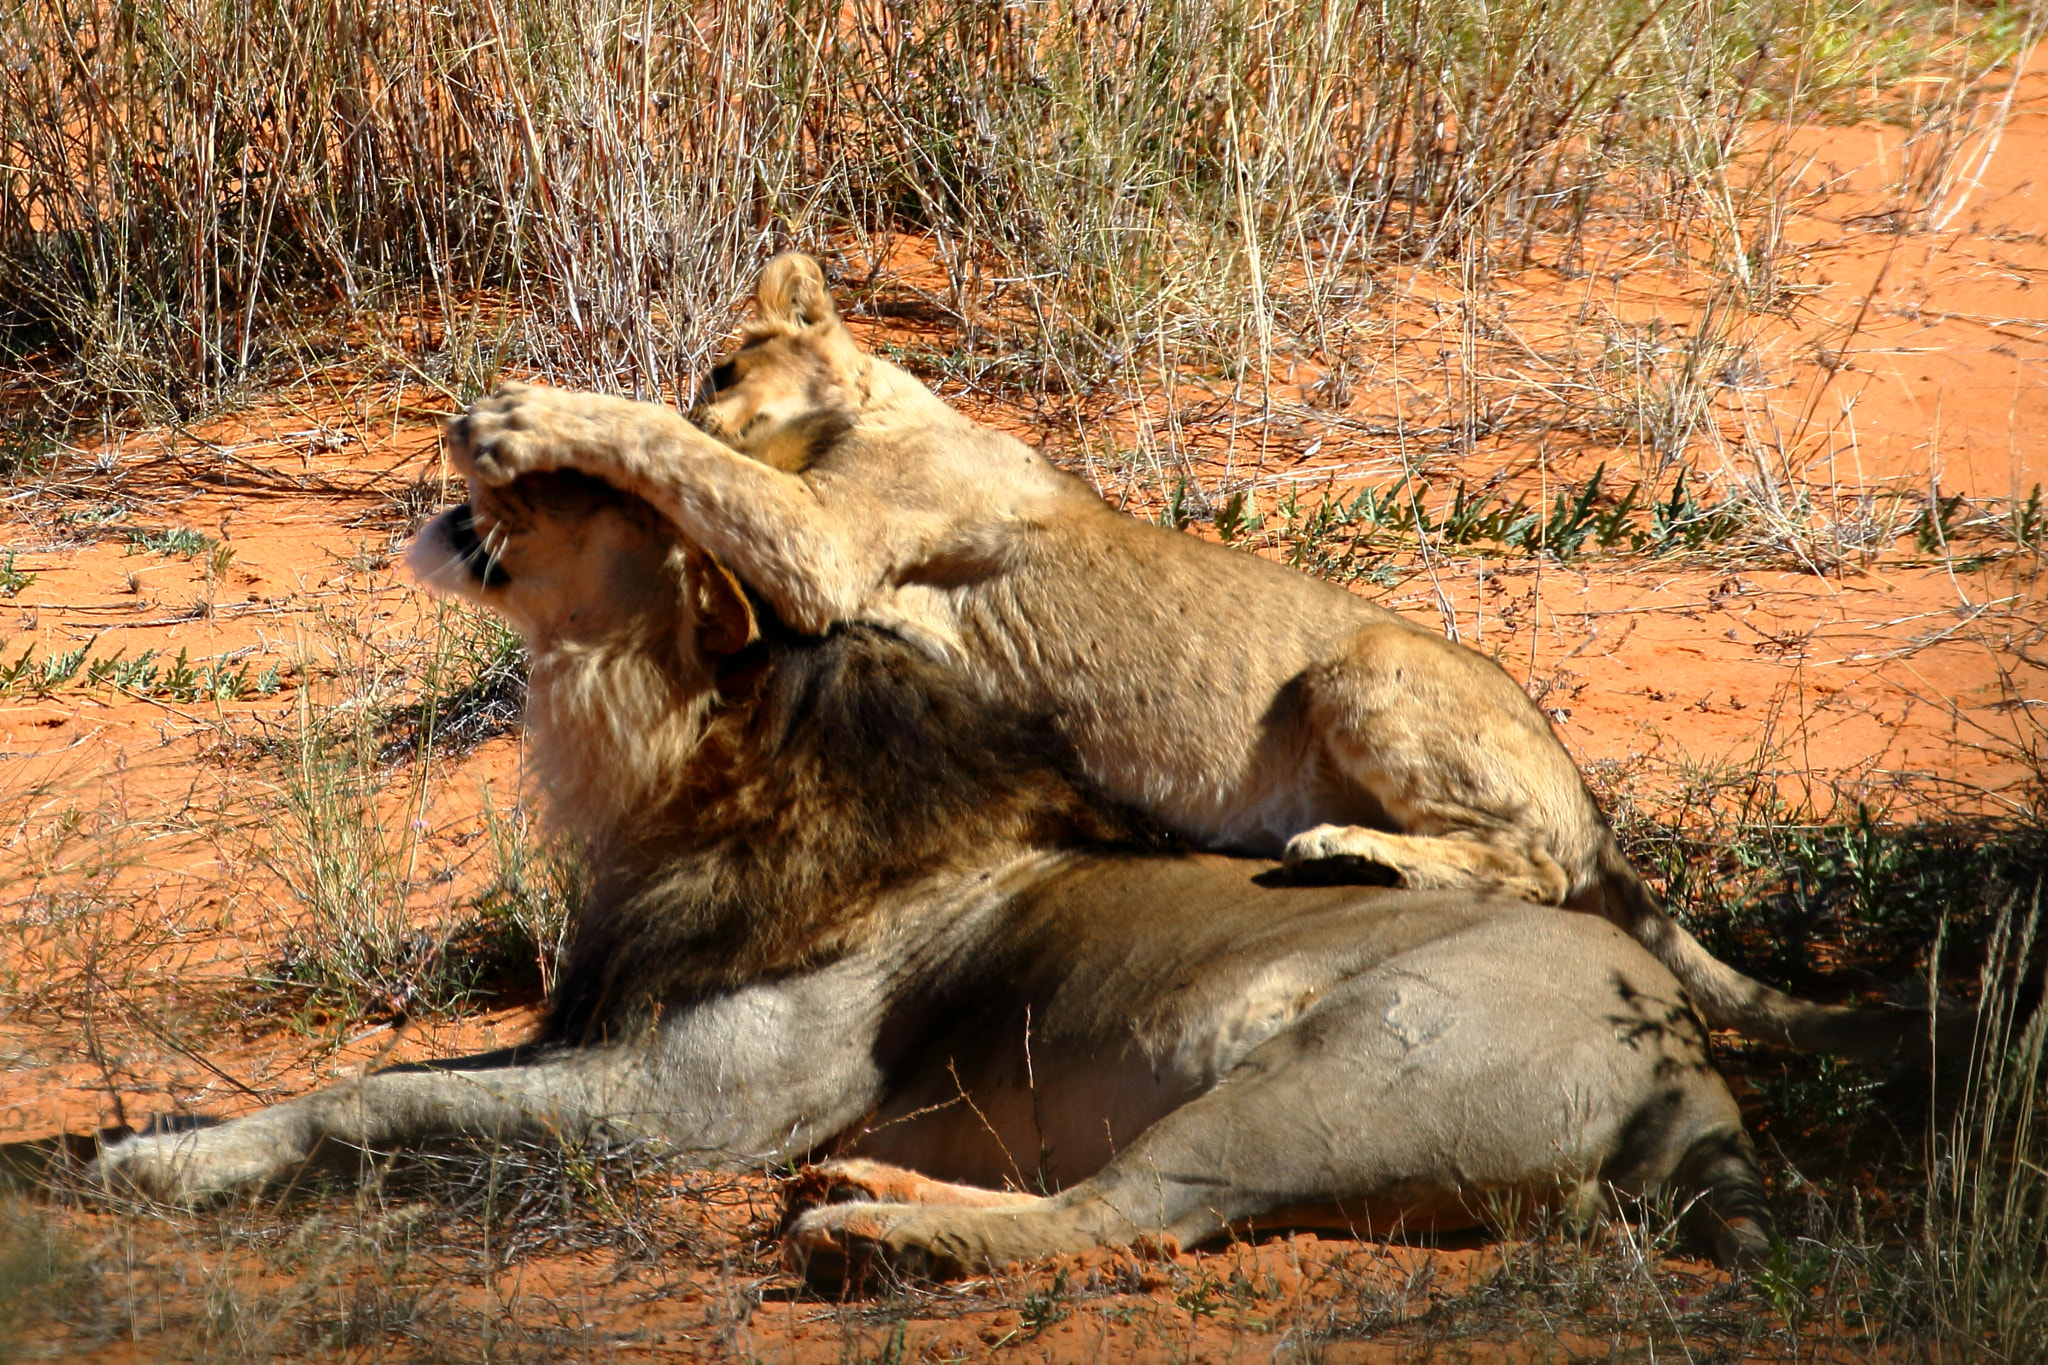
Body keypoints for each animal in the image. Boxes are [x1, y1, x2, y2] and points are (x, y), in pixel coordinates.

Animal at [89, 468, 1772, 1276]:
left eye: (599, 489)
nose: (449, 475)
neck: (674, 790)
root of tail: (1694, 1074)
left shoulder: (683, 1107)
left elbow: (374, 1100)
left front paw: (157, 1169)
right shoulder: (607, 1034)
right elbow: (373, 1077)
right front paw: (158, 1140)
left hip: (1337, 1070)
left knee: (1129, 1212)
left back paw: (867, 1236)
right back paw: (867, 1185)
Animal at [444, 254, 1916, 1064]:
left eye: (722, 365)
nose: (705, 392)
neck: (877, 408)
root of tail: (1598, 809)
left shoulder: (830, 548)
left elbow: (677, 464)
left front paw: (519, 420)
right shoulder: (813, 572)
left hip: (1362, 669)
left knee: (1540, 871)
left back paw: (1349, 850)